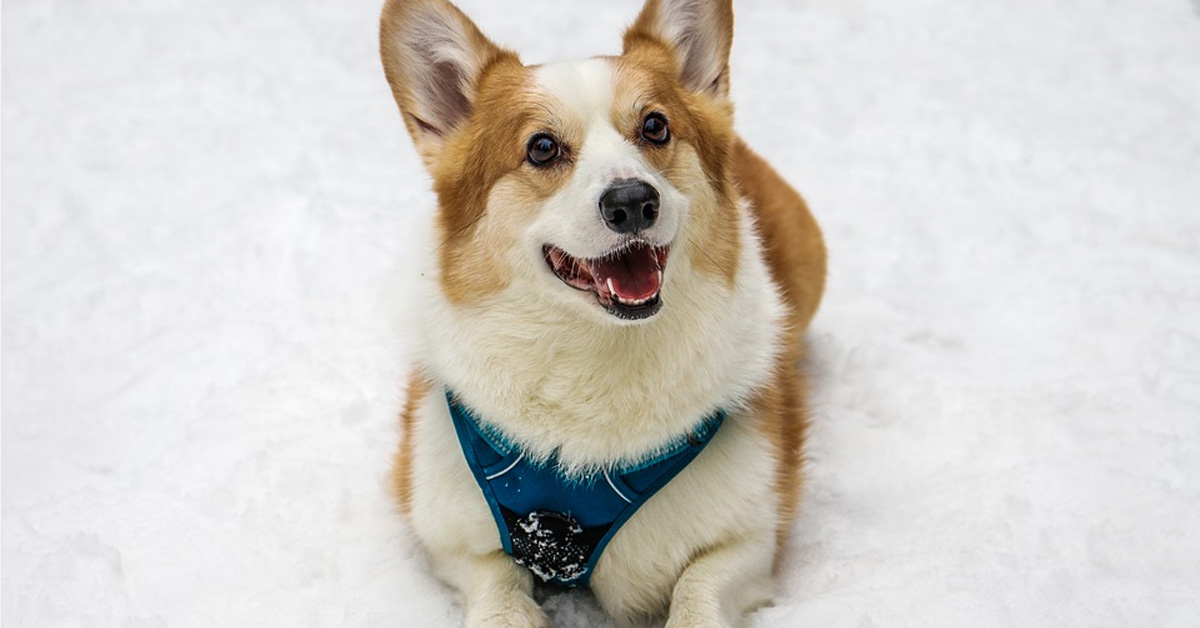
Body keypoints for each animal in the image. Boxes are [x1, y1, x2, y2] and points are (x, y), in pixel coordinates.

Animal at [381, 1, 825, 624]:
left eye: (655, 126)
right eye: (542, 147)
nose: (633, 202)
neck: (595, 353)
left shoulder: (749, 537)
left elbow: (698, 589)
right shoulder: (451, 537)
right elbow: (497, 586)